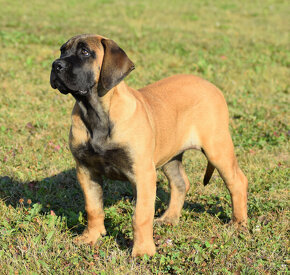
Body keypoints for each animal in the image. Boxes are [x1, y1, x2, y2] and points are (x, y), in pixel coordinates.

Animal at [49, 35, 247, 258]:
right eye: (62, 51)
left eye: (85, 52)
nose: (56, 65)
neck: (95, 113)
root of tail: (212, 86)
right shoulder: (86, 170)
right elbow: (93, 208)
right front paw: (91, 237)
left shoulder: (142, 173)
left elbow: (141, 216)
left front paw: (143, 251)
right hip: (170, 156)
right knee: (180, 183)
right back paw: (170, 218)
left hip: (217, 147)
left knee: (238, 182)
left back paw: (238, 224)